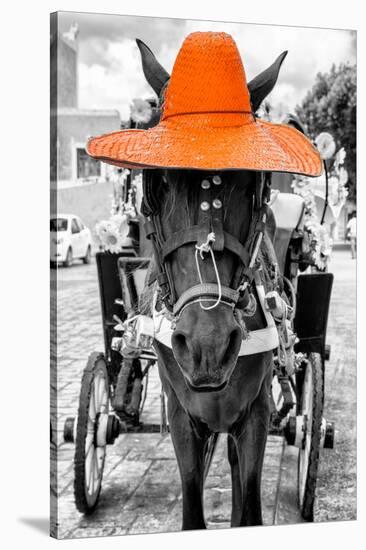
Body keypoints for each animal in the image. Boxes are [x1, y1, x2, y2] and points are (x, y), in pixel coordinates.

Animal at [136, 40, 288, 532]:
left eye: (253, 182)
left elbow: (250, 508)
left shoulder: (256, 412)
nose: (208, 345)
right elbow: (192, 508)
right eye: (156, 182)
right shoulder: (182, 416)